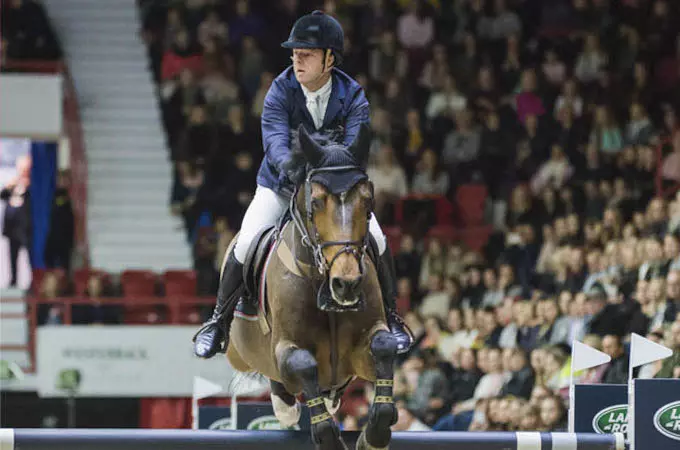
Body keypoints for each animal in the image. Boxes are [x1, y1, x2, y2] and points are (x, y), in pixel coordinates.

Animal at [226, 124, 402, 450]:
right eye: (316, 202)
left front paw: (373, 436)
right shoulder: (285, 350)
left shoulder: (362, 348)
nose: (346, 284)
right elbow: (304, 364)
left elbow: (384, 346)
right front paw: (327, 436)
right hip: (239, 352)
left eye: (368, 201)